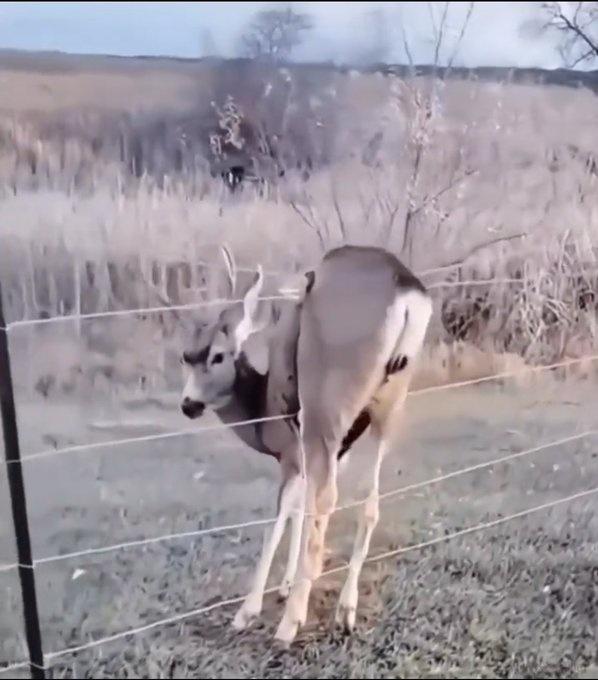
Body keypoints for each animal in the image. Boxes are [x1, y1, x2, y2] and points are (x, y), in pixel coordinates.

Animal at [180, 243, 434, 644]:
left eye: (217, 355)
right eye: (184, 356)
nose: (188, 405)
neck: (262, 412)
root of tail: (407, 289)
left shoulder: (291, 453)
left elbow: (282, 515)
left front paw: (248, 610)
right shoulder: (328, 455)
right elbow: (302, 511)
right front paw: (285, 585)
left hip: (325, 405)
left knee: (329, 500)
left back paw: (290, 624)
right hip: (391, 404)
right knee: (370, 502)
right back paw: (346, 609)